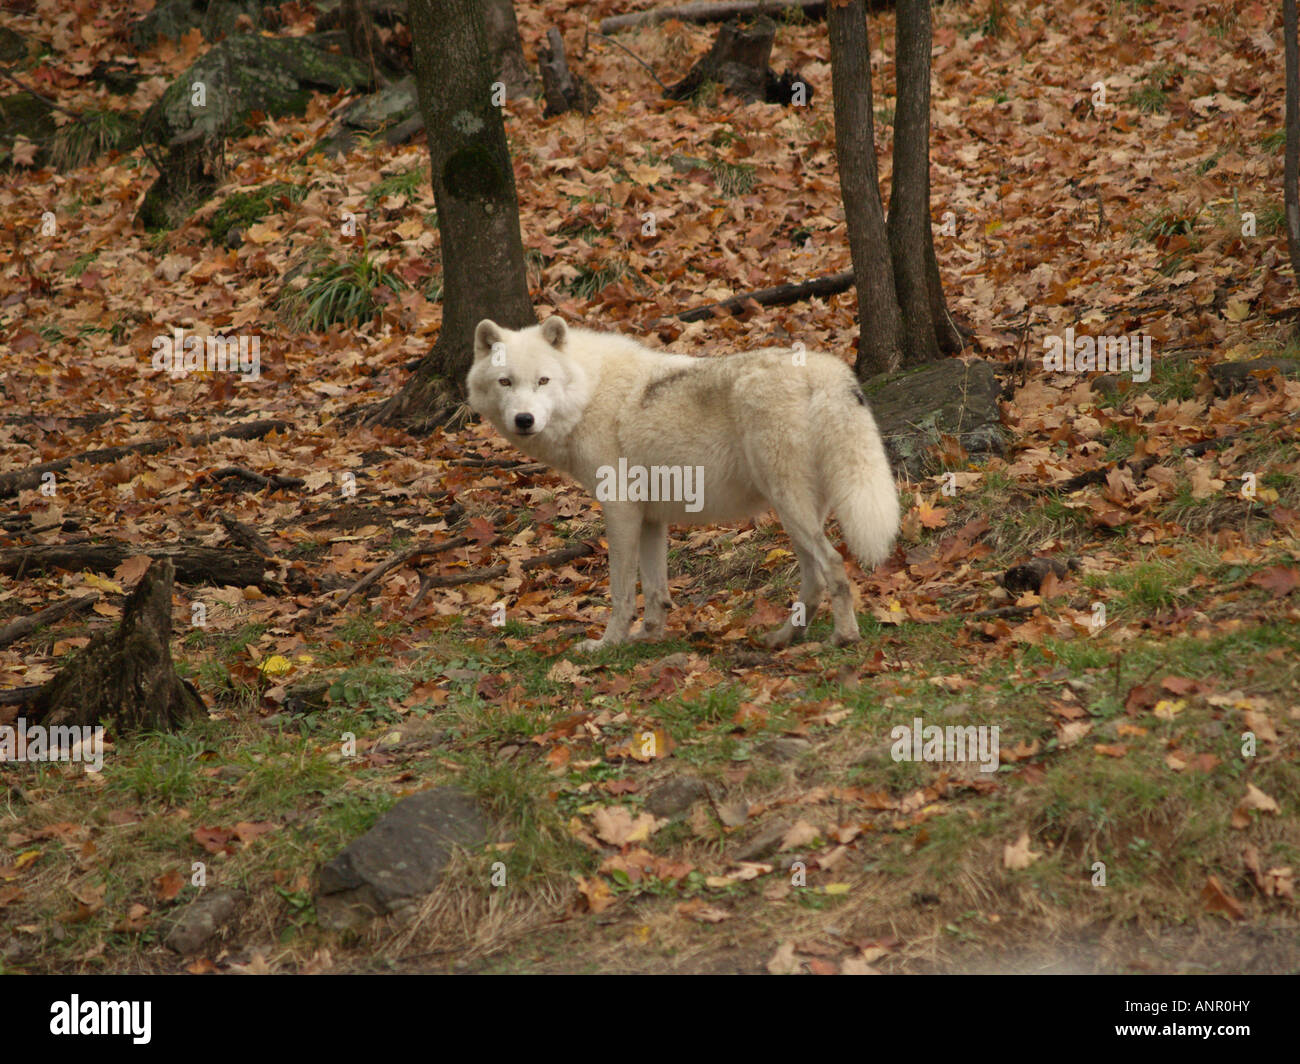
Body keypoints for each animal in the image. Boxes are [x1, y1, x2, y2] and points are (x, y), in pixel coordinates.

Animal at [467, 310, 904, 650]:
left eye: (542, 381)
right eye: (506, 382)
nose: (524, 420)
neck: (588, 394)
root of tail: (829, 371)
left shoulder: (620, 510)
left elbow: (621, 591)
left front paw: (608, 644)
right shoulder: (651, 518)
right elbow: (656, 591)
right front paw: (648, 636)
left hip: (790, 506)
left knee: (833, 565)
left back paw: (843, 637)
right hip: (795, 513)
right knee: (814, 579)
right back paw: (783, 638)